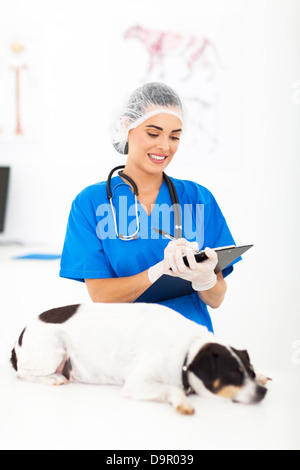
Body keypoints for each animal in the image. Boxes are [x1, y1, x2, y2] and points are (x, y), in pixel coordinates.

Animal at [9, 302, 270, 414]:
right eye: (232, 374)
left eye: (249, 371)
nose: (262, 392)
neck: (188, 352)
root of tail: (20, 335)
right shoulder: (138, 383)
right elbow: (172, 389)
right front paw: (182, 402)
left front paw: (263, 375)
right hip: (53, 349)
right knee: (23, 373)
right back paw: (52, 378)